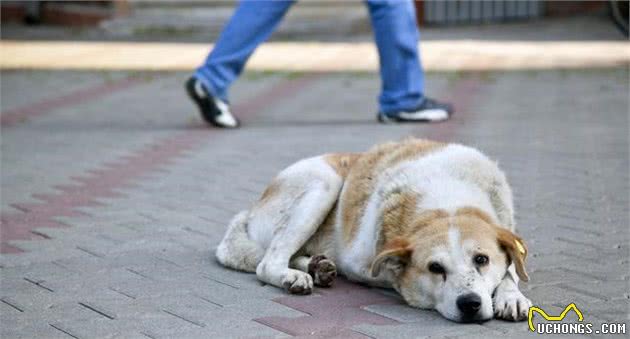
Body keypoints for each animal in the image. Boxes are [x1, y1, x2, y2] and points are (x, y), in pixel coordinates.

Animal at [217, 139, 532, 324]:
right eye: (435, 268)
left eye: (481, 260)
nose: (470, 304)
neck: (447, 200)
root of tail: (251, 209)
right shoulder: (360, 262)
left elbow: (510, 270)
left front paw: (511, 296)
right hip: (323, 182)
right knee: (267, 262)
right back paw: (293, 276)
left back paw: (317, 267)